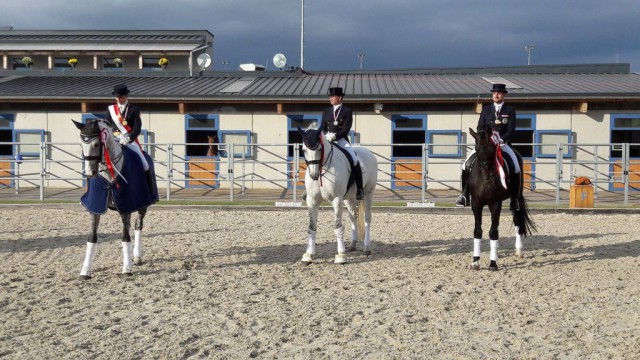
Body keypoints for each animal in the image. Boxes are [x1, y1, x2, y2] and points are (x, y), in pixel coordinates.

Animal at [298, 128, 376, 262]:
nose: (314, 175)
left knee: (367, 218)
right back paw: (352, 245)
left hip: (368, 194)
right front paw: (308, 255)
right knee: (353, 217)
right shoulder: (312, 201)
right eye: (303, 150)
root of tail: (368, 152)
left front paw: (341, 255)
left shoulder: (336, 200)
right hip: (349, 198)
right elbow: (312, 227)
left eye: (319, 149)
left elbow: (338, 226)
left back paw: (366, 248)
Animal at [464, 126, 536, 270]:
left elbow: (493, 232)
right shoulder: (476, 203)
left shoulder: (495, 203)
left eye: (492, 147)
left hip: (515, 198)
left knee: (517, 220)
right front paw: (475, 261)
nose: (488, 175)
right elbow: (478, 230)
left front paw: (493, 263)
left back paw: (519, 251)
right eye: (477, 147)